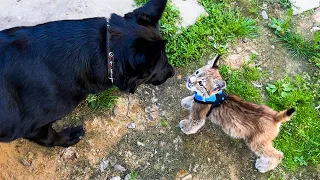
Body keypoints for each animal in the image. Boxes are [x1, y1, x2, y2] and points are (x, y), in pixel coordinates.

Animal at [0, 0, 174, 147]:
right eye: (161, 64)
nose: (172, 72)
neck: (106, 49)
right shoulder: (34, 127)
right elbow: (49, 137)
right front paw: (65, 138)